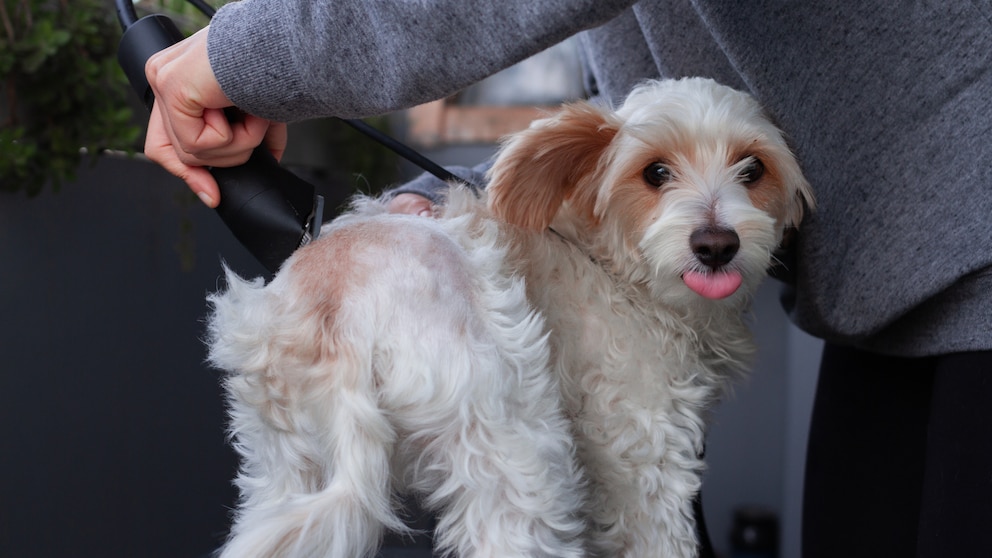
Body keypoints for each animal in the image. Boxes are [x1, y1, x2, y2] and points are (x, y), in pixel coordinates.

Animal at [205, 76, 808, 556]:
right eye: (655, 172)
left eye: (753, 169)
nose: (716, 246)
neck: (609, 264)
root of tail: (338, 313)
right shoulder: (645, 452)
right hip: (515, 450)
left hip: (282, 466)